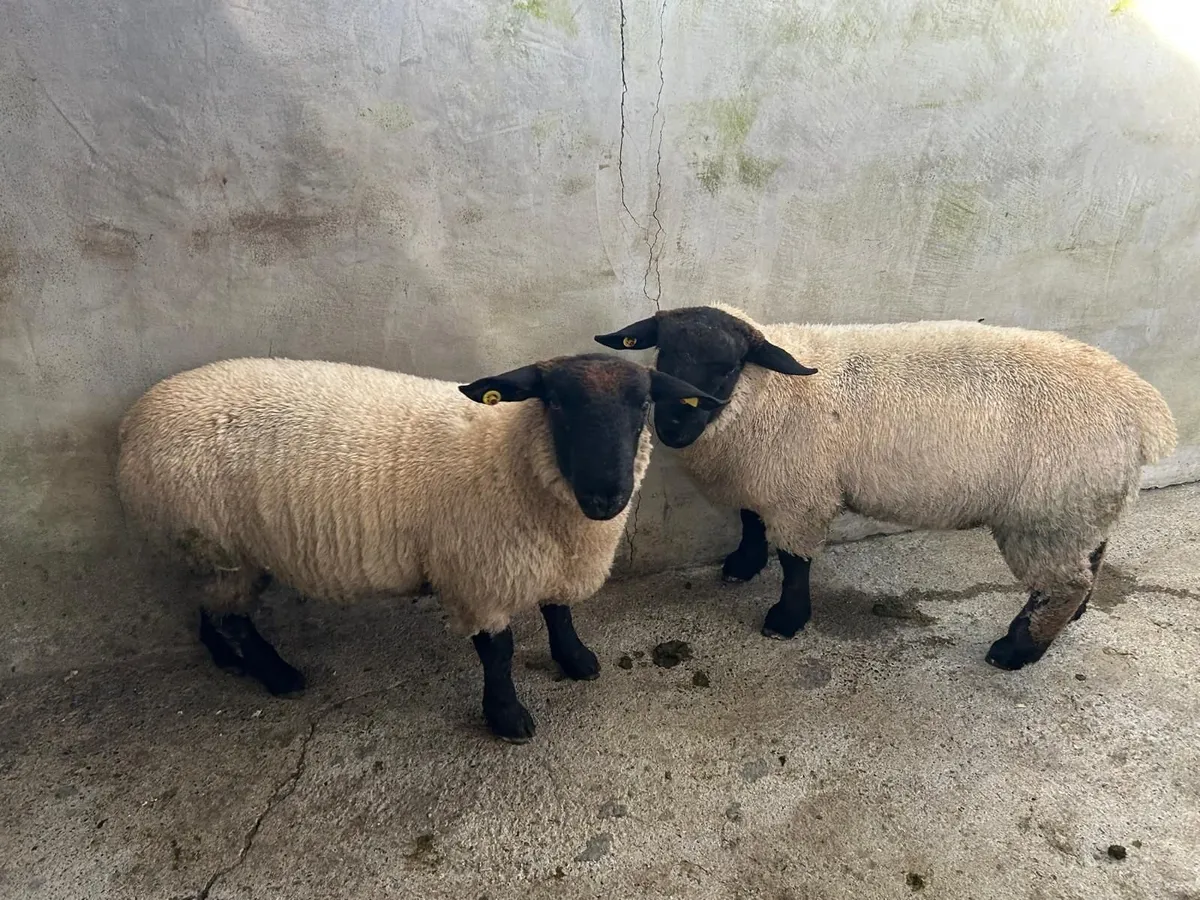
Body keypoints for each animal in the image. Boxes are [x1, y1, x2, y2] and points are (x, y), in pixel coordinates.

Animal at [117, 352, 721, 742]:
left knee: (211, 606)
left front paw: (575, 660)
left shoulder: (547, 558)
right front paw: (507, 718)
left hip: (215, 552)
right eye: (556, 404)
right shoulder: (479, 574)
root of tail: (133, 418)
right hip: (217, 543)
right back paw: (278, 676)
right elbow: (498, 652)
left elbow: (558, 611)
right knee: (236, 616)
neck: (508, 458)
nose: (605, 496)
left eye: (642, 405)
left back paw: (226, 660)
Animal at [596, 305, 1177, 670]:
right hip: (1081, 507)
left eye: (728, 367)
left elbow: (795, 561)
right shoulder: (767, 479)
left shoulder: (800, 492)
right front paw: (742, 565)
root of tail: (1145, 411)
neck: (769, 394)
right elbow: (750, 520)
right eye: (665, 355)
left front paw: (787, 618)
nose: (673, 427)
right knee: (1093, 556)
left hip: (1048, 514)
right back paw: (1072, 616)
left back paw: (1017, 651)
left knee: (1063, 583)